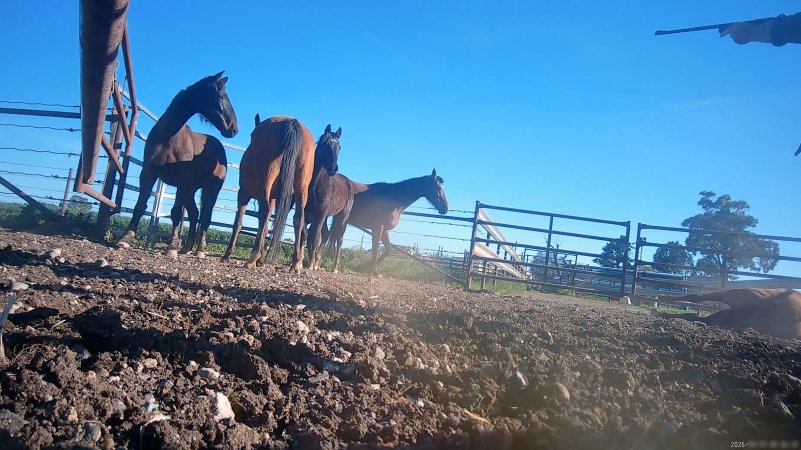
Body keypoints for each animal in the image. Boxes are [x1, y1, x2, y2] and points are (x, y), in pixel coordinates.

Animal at [223, 116, 335, 272]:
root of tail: (292, 123)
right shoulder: (273, 199)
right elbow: (264, 227)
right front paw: (261, 259)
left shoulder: (243, 193)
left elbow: (239, 223)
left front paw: (228, 255)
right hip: (301, 189)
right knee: (298, 219)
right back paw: (295, 263)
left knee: (263, 213)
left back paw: (252, 258)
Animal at [653, 288, 801, 339]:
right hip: (737, 295)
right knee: (696, 297)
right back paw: (662, 299)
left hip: (727, 317)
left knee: (693, 314)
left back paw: (658, 310)